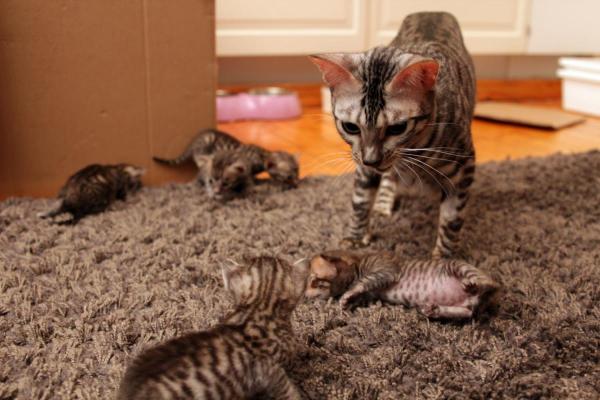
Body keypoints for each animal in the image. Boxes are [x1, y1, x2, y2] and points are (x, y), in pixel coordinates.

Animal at [304, 250, 496, 318]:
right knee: (467, 313)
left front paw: (346, 295)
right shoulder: (369, 294)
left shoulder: (385, 271)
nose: (303, 296)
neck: (359, 263)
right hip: (465, 307)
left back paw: (475, 284)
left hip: (459, 266)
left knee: (491, 284)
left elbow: (360, 283)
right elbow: (359, 295)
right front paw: (347, 303)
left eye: (313, 282)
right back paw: (433, 310)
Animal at [312, 12, 476, 258]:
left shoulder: (462, 169)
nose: (372, 159)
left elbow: (451, 220)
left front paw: (443, 258)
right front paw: (354, 238)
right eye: (351, 127)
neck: (415, 151)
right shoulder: (363, 165)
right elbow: (360, 201)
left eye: (397, 128)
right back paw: (383, 204)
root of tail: (431, 11)